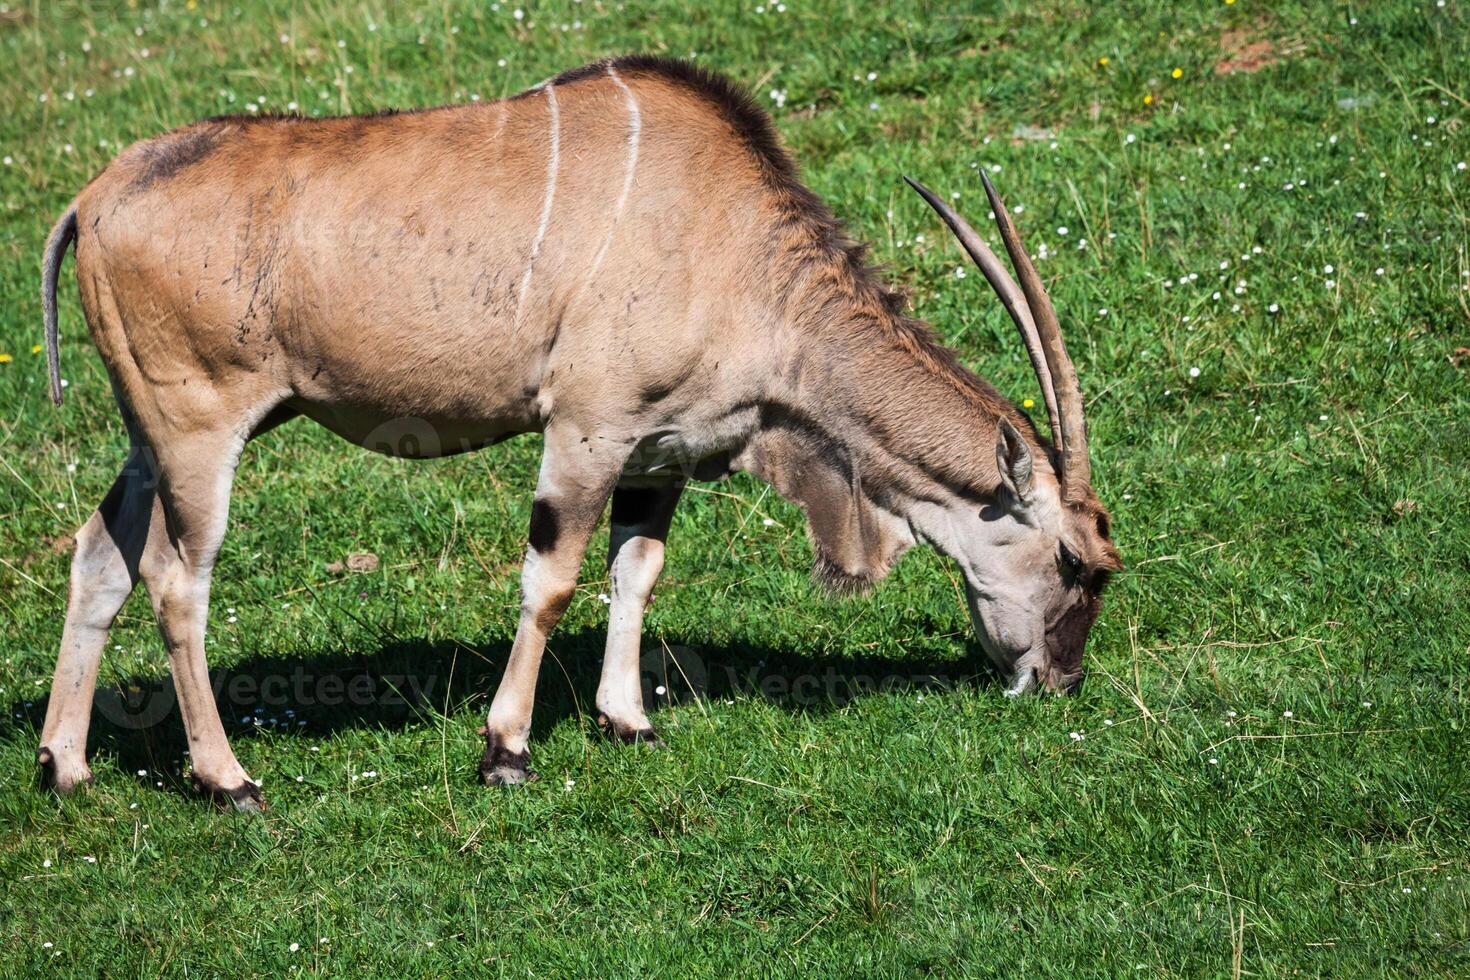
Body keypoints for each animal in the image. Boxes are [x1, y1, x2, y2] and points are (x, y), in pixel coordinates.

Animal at [34, 51, 1117, 811]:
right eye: (1075, 561)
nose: (1057, 683)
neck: (736, 243)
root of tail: (96, 197)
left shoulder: (658, 454)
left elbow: (635, 572)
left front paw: (627, 719)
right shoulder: (586, 431)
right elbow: (551, 581)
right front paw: (505, 749)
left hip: (149, 441)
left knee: (99, 555)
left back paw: (65, 764)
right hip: (199, 431)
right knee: (178, 580)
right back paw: (228, 778)